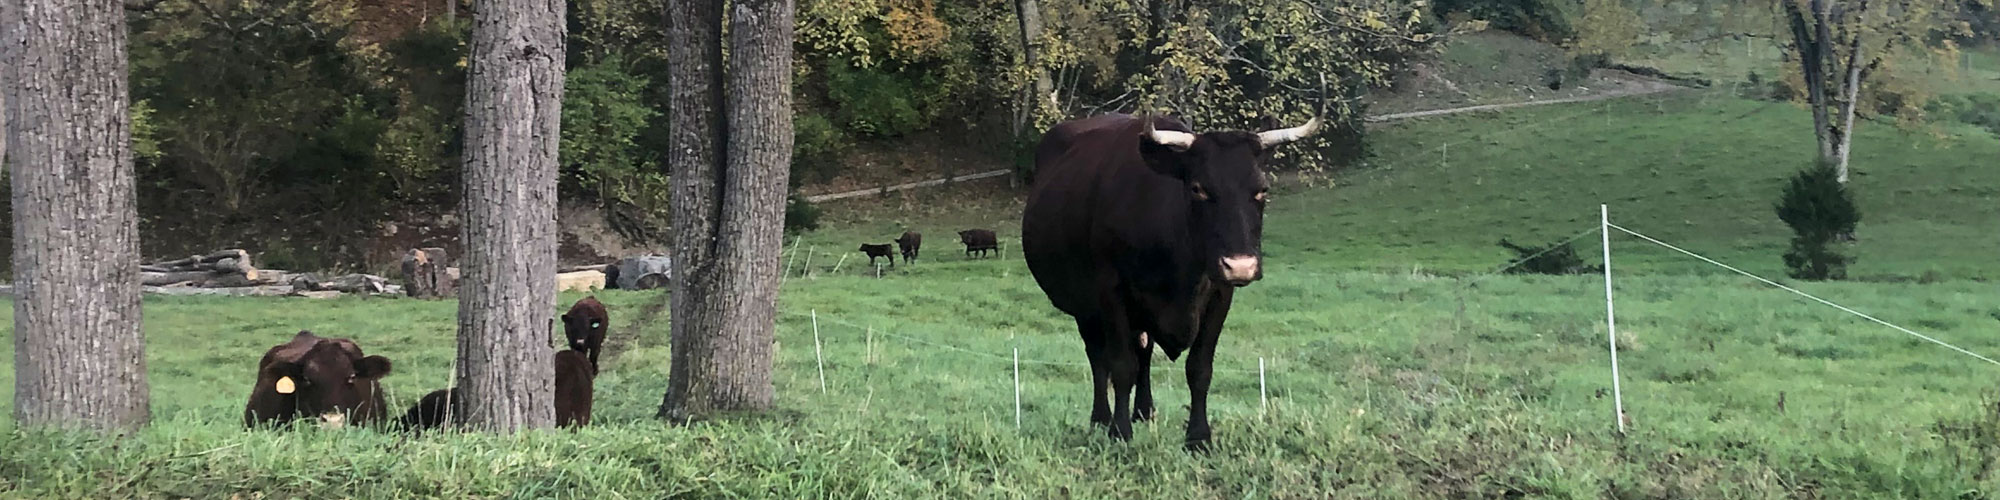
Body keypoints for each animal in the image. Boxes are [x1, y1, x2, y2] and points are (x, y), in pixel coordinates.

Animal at [1024, 112, 1320, 450]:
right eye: (1198, 189)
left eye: (1262, 190)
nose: (1241, 266)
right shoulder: (1110, 293)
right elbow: (1121, 365)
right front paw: (1119, 431)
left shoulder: (1220, 294)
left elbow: (1199, 368)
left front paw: (1199, 437)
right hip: (1085, 306)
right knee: (1099, 358)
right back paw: (1100, 418)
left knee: (1143, 351)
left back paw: (1144, 410)